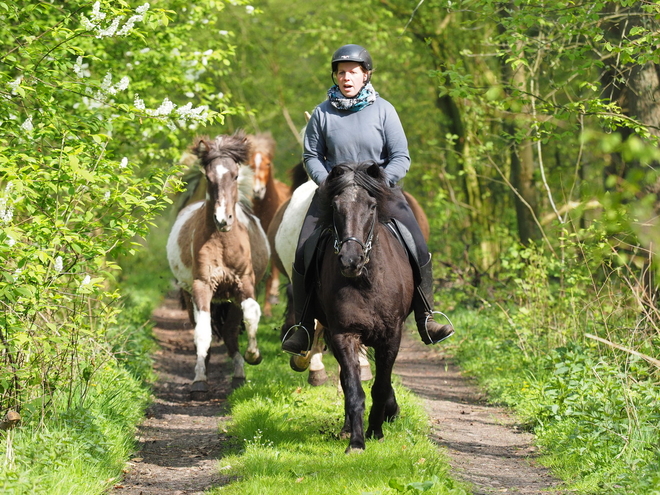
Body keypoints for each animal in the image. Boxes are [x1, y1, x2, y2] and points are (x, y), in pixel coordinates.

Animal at [166, 133, 270, 400]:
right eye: (209, 177)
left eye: (234, 175)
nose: (223, 220)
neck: (222, 240)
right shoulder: (202, 286)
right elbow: (203, 333)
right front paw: (199, 381)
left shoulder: (244, 283)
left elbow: (251, 315)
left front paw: (254, 356)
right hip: (191, 295)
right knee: (203, 330)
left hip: (230, 298)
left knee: (232, 331)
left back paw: (239, 375)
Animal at [310, 162, 412, 454]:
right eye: (335, 206)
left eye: (372, 206)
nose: (350, 260)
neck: (366, 281)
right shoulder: (343, 334)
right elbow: (354, 389)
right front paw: (356, 441)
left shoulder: (391, 336)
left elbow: (381, 386)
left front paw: (376, 430)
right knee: (346, 380)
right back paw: (347, 429)